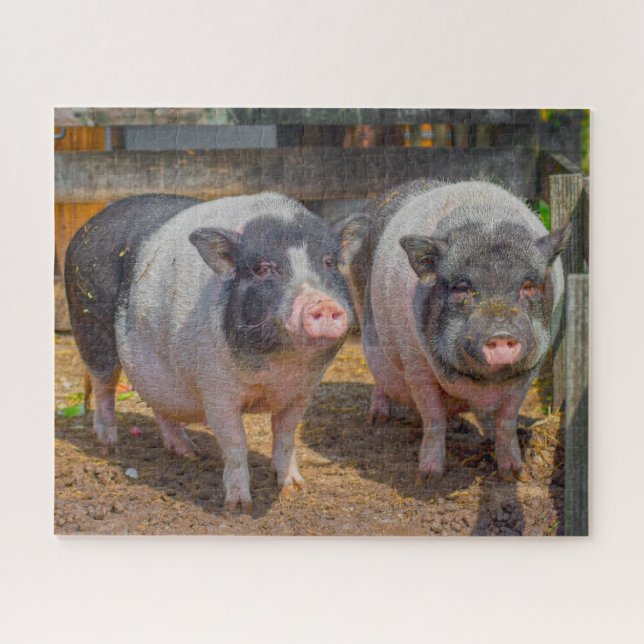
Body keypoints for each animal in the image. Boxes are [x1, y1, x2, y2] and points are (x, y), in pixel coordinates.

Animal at [65, 192, 359, 513]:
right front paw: (238, 507)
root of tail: (87, 227)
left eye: (328, 262)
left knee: (158, 403)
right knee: (103, 387)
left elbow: (285, 437)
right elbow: (236, 444)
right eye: (262, 268)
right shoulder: (216, 390)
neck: (277, 368)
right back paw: (109, 445)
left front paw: (296, 489)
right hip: (91, 327)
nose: (322, 303)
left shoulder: (303, 391)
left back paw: (189, 453)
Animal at [343, 180, 569, 483]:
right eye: (462, 288)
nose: (500, 334)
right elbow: (434, 418)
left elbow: (507, 420)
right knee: (381, 380)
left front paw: (513, 473)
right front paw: (428, 476)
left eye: (529, 286)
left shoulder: (529, 371)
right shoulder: (416, 365)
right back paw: (378, 419)